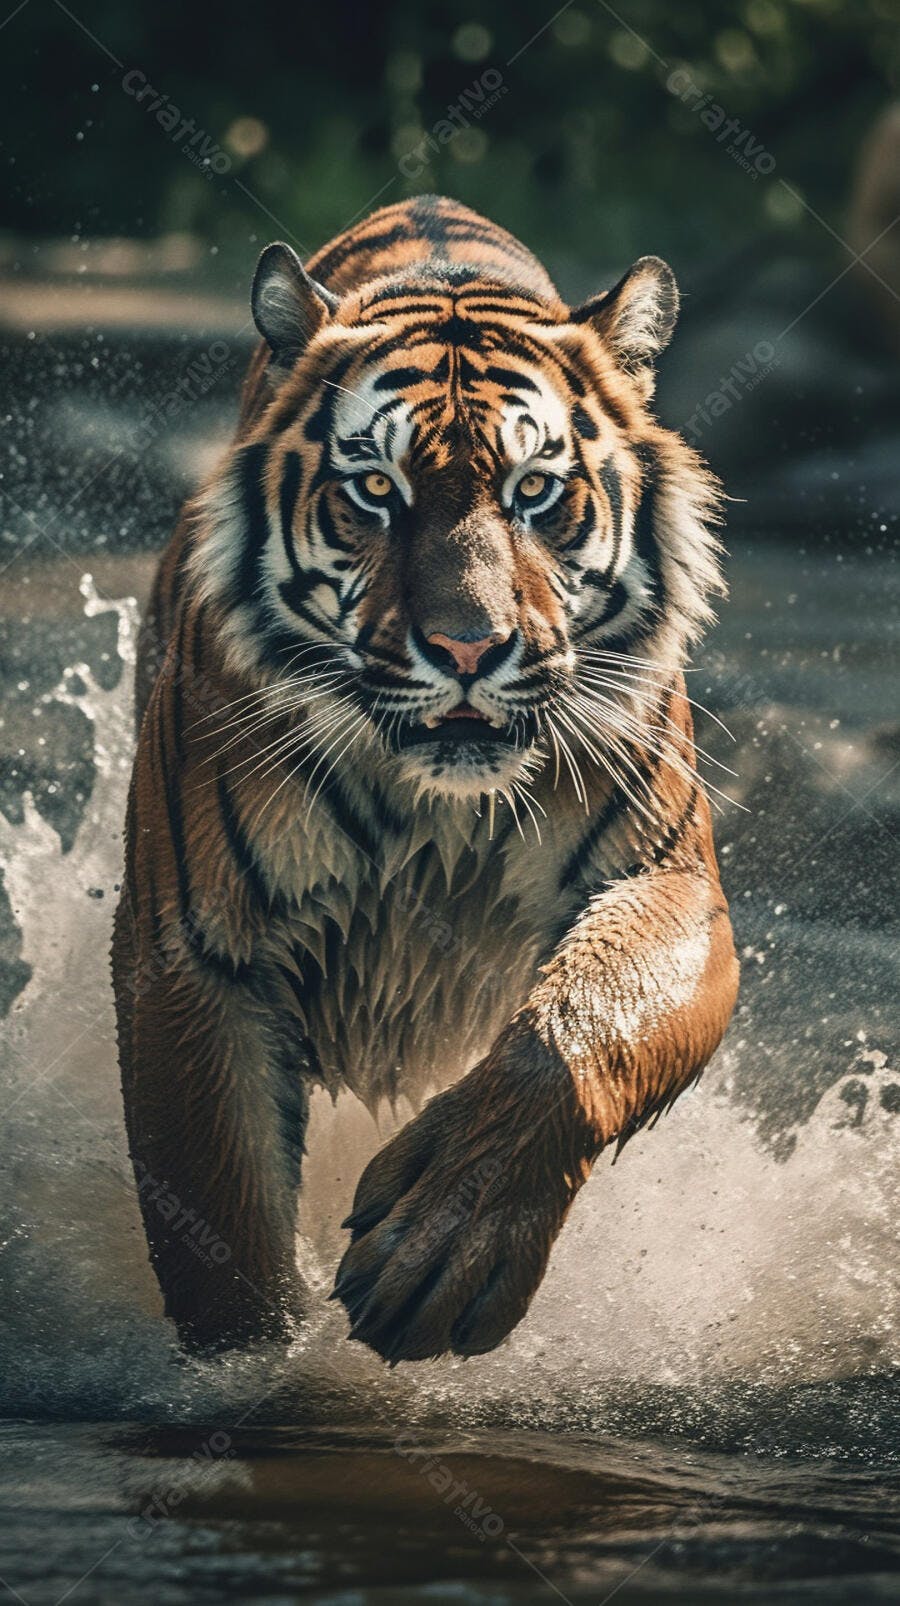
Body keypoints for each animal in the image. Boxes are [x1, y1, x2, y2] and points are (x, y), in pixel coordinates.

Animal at [112, 194, 739, 1362]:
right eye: (375, 490)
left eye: (535, 491)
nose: (467, 649)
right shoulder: (194, 950)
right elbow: (219, 1224)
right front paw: (263, 1371)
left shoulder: (671, 881)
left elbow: (584, 1024)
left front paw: (443, 1248)